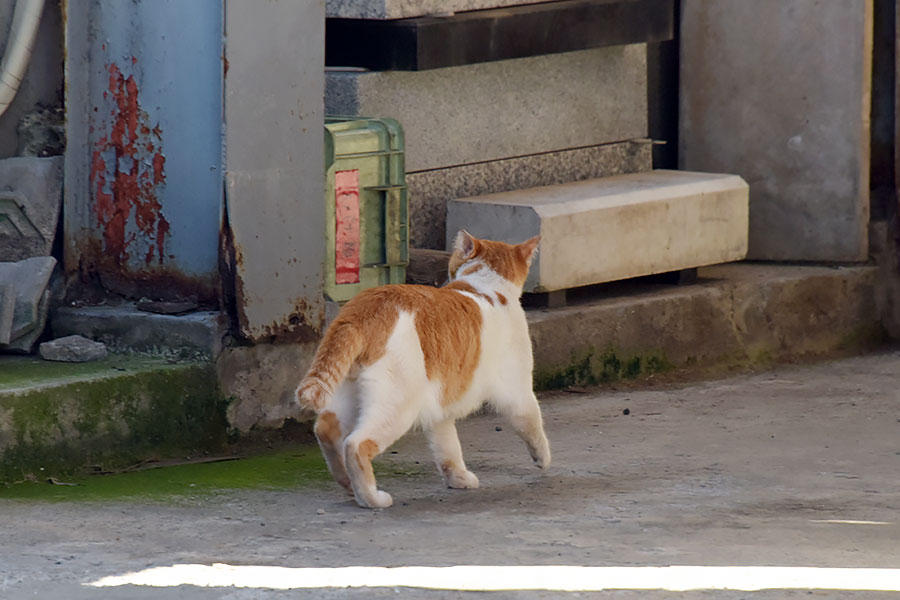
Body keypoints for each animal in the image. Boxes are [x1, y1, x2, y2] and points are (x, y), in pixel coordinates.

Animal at [296, 232, 548, 508]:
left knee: (326, 429)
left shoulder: (440, 404)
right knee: (356, 444)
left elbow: (447, 447)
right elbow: (531, 422)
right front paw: (542, 459)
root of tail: (364, 306)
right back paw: (371, 498)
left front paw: (457, 477)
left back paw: (347, 484)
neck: (486, 287)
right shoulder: (518, 391)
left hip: (350, 393)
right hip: (398, 404)